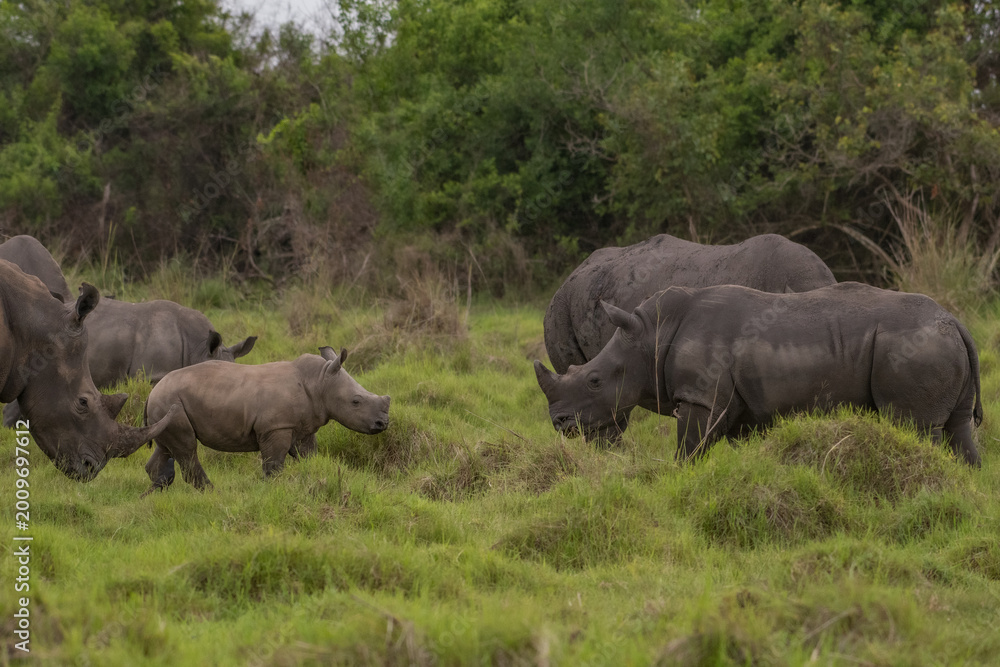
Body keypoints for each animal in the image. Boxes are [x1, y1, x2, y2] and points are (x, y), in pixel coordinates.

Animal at [143, 347, 391, 491]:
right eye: (356, 401)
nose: (383, 423)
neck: (320, 381)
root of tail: (151, 393)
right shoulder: (276, 427)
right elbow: (274, 465)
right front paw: (269, 490)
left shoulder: (301, 428)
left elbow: (309, 457)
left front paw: (313, 477)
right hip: (170, 402)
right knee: (187, 449)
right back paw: (211, 492)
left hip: (165, 406)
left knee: (167, 448)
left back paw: (155, 493)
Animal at [534, 282, 983, 466]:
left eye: (595, 380)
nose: (559, 423)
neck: (649, 336)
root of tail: (956, 321)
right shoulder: (736, 404)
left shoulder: (701, 398)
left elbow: (688, 450)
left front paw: (677, 477)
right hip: (935, 343)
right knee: (959, 430)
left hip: (915, 346)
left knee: (914, 427)